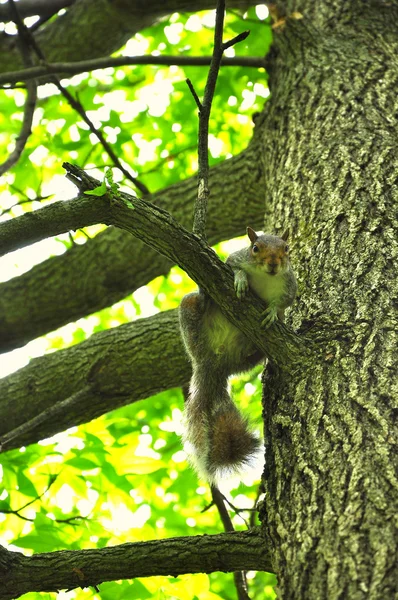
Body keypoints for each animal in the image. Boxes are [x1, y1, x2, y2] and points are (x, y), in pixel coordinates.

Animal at [179, 225, 296, 482]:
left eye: (286, 249)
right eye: (255, 248)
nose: (273, 264)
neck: (266, 277)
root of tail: (215, 362)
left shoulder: (290, 284)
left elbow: (285, 301)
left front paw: (272, 311)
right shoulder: (236, 259)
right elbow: (233, 266)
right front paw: (241, 280)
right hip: (190, 315)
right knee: (195, 307)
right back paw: (205, 299)